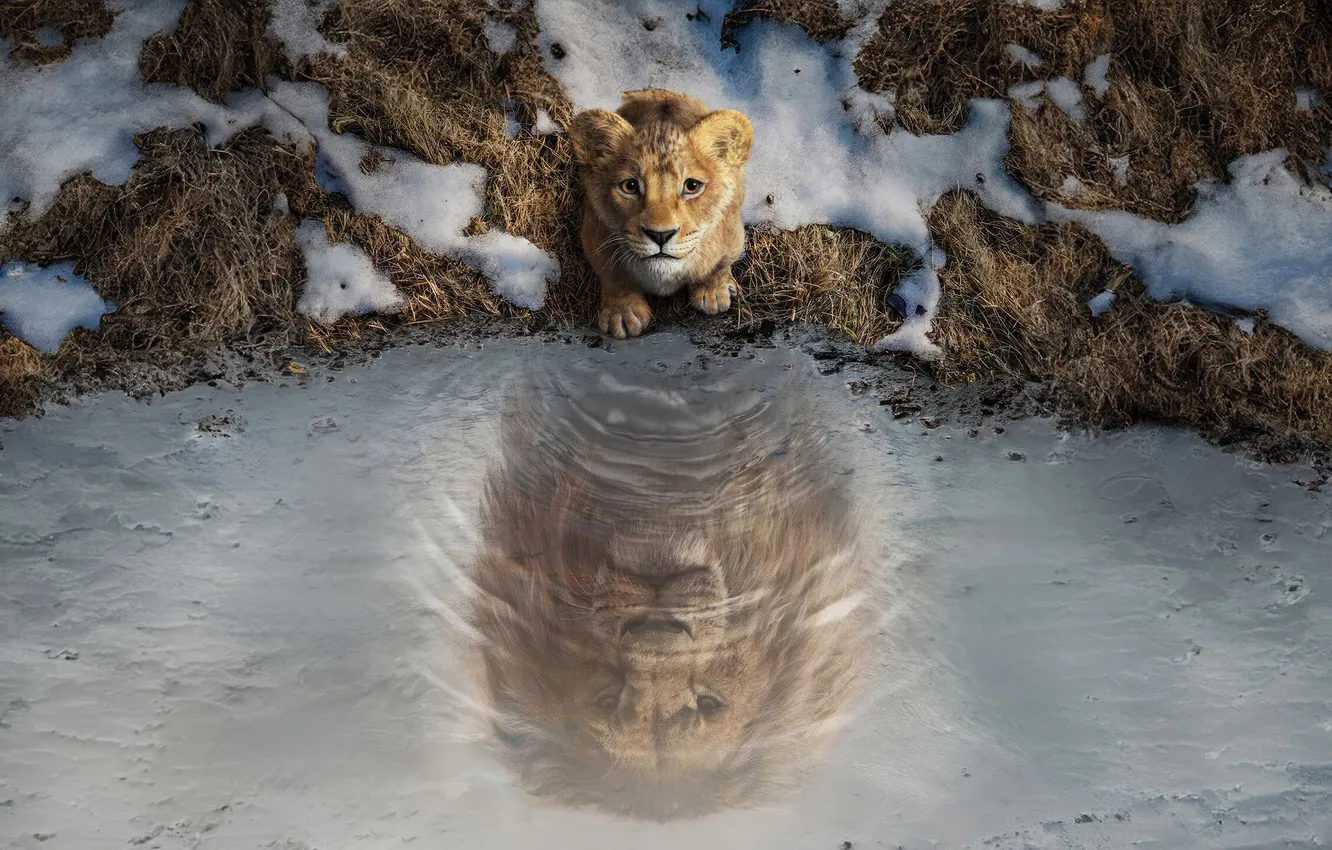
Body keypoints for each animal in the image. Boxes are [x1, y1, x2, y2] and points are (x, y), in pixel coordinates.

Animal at [569, 89, 754, 339]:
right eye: (629, 186)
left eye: (692, 186)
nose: (660, 235)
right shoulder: (593, 233)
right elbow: (612, 274)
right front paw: (623, 312)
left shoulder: (733, 234)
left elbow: (719, 264)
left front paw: (713, 291)